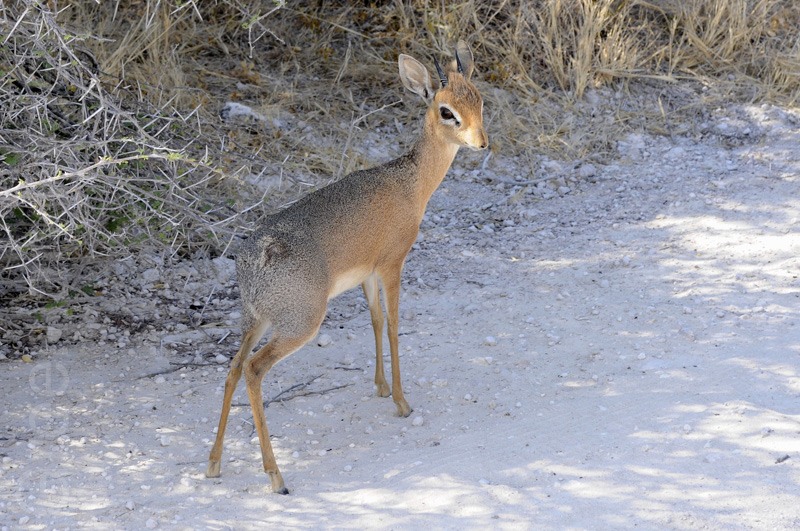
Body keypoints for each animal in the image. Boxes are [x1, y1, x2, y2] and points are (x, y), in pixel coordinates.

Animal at [206, 41, 488, 494]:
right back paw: (275, 476)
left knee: (233, 367)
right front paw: (402, 401)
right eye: (447, 111)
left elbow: (374, 321)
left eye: (479, 99)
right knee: (253, 369)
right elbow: (394, 325)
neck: (411, 184)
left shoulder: (367, 274)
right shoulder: (393, 264)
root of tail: (256, 257)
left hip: (256, 319)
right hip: (300, 323)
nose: (482, 143)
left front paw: (380, 387)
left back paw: (214, 463)